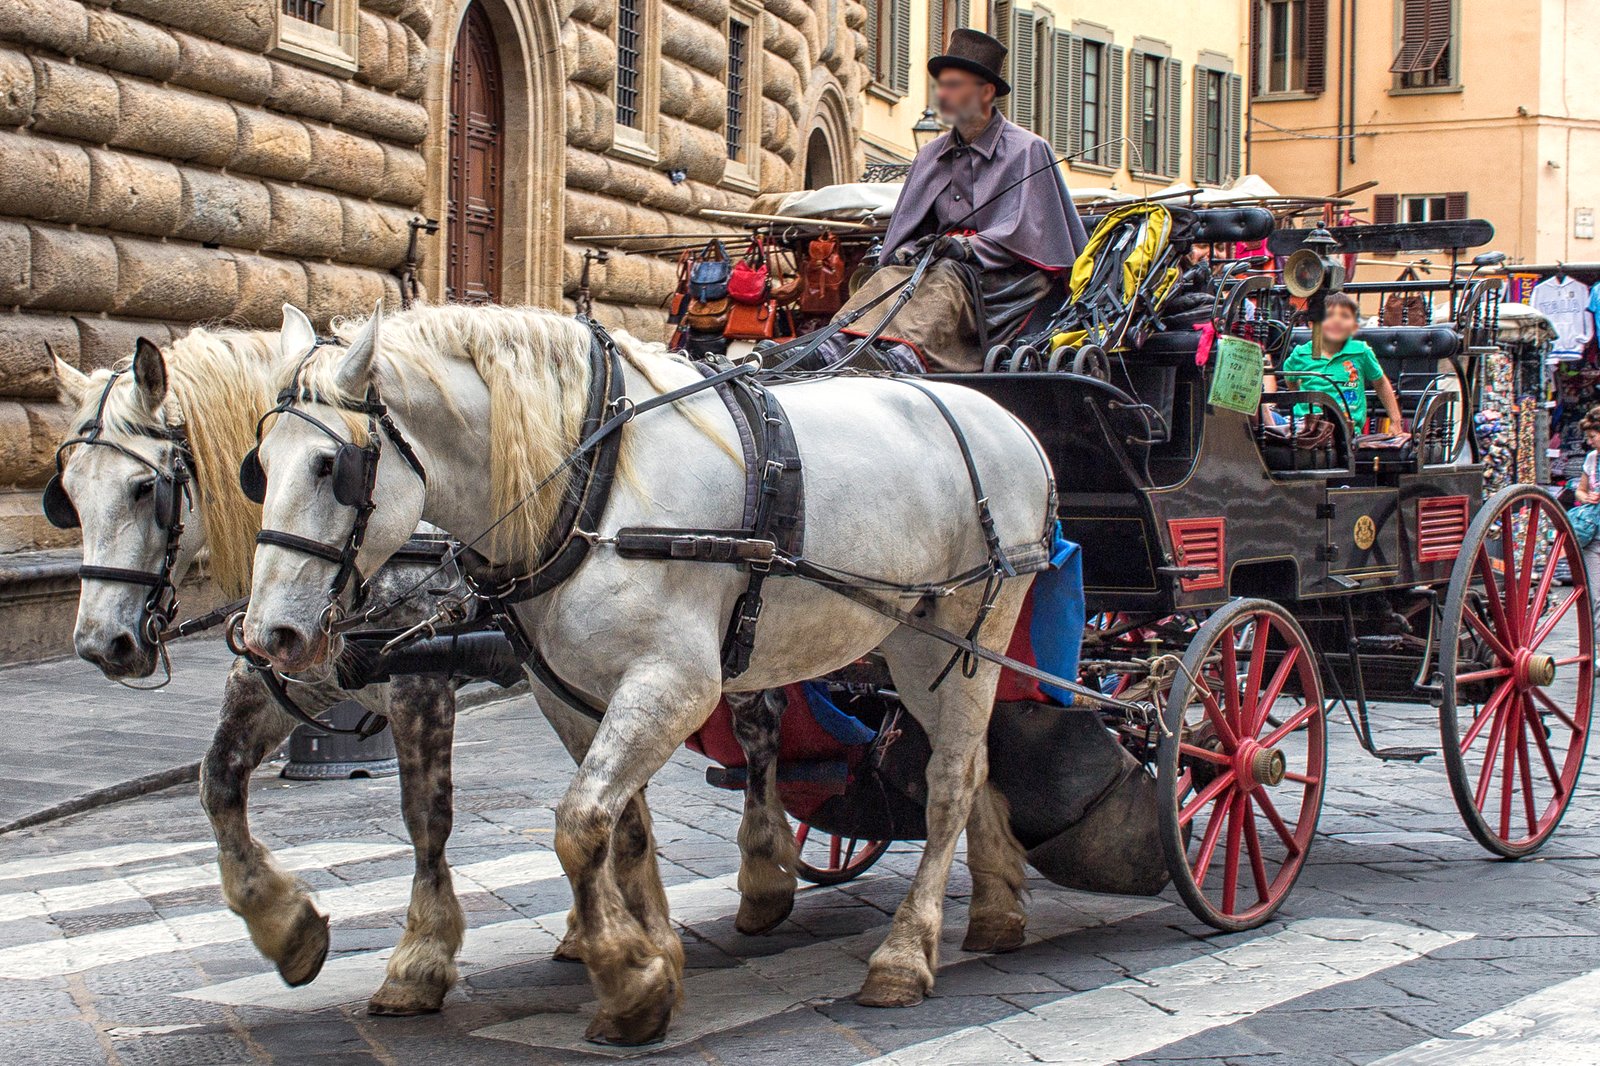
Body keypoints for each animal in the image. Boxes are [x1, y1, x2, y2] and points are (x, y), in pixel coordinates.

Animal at [243, 302, 1056, 1043]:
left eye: (332, 467)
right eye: (259, 467)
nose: (267, 635)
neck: (591, 488)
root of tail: (1011, 423)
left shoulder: (675, 683)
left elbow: (577, 825)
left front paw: (629, 983)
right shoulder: (572, 694)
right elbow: (621, 826)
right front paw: (653, 954)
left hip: (961, 632)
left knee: (949, 778)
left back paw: (906, 954)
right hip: (904, 637)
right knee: (974, 760)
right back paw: (997, 909)